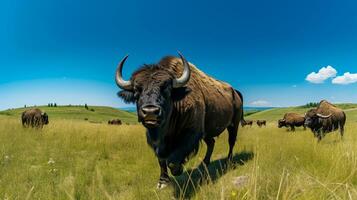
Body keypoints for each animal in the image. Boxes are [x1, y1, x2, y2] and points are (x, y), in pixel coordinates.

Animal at [115, 52, 243, 188]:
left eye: (166, 89)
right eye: (136, 91)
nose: (150, 112)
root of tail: (235, 92)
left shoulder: (192, 133)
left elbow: (172, 160)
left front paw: (179, 169)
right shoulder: (157, 142)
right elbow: (161, 159)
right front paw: (162, 182)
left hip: (233, 125)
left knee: (231, 142)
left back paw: (228, 161)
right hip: (208, 132)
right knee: (211, 143)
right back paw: (204, 164)